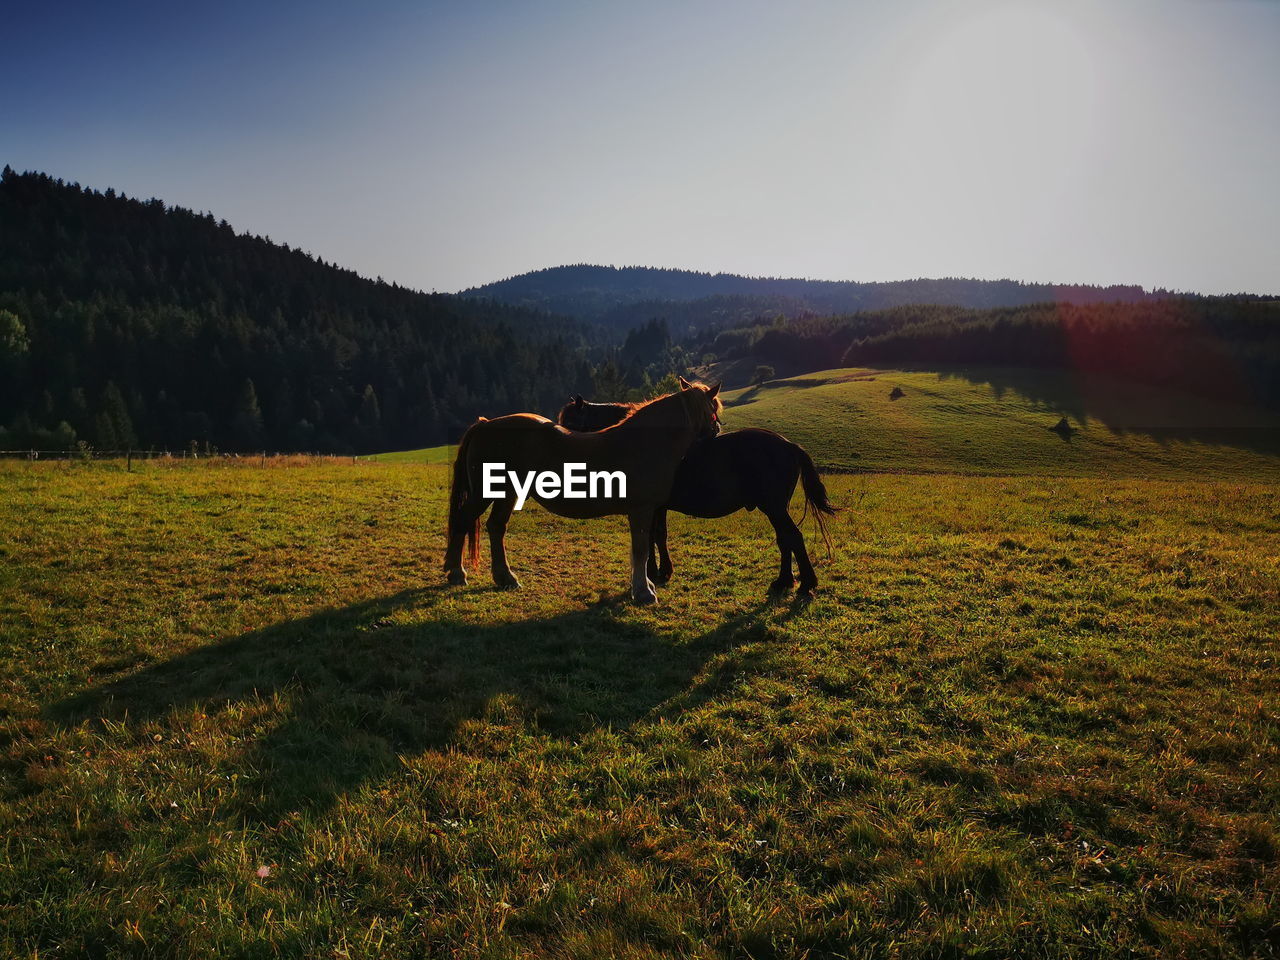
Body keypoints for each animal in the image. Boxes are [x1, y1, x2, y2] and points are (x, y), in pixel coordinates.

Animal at [442, 378, 721, 604]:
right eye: (713, 411)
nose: (718, 430)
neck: (644, 443)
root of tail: (485, 424)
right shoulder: (642, 509)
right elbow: (641, 549)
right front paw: (643, 591)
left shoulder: (648, 510)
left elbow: (642, 547)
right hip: (484, 494)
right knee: (464, 521)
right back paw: (457, 572)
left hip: (507, 494)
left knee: (496, 527)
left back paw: (505, 577)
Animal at [555, 391, 834, 593]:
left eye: (571, 425)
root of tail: (789, 445)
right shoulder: (657, 506)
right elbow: (658, 535)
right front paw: (660, 570)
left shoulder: (650, 505)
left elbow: (651, 536)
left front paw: (655, 571)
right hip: (774, 508)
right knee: (785, 539)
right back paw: (784, 581)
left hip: (774, 507)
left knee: (793, 537)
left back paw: (806, 583)